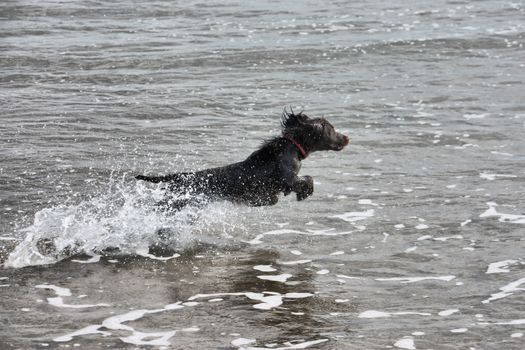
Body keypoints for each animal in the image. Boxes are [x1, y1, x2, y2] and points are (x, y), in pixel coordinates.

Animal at [135, 109, 348, 209]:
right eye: (332, 129)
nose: (347, 137)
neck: (292, 147)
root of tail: (180, 176)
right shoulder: (287, 177)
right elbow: (307, 179)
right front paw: (304, 193)